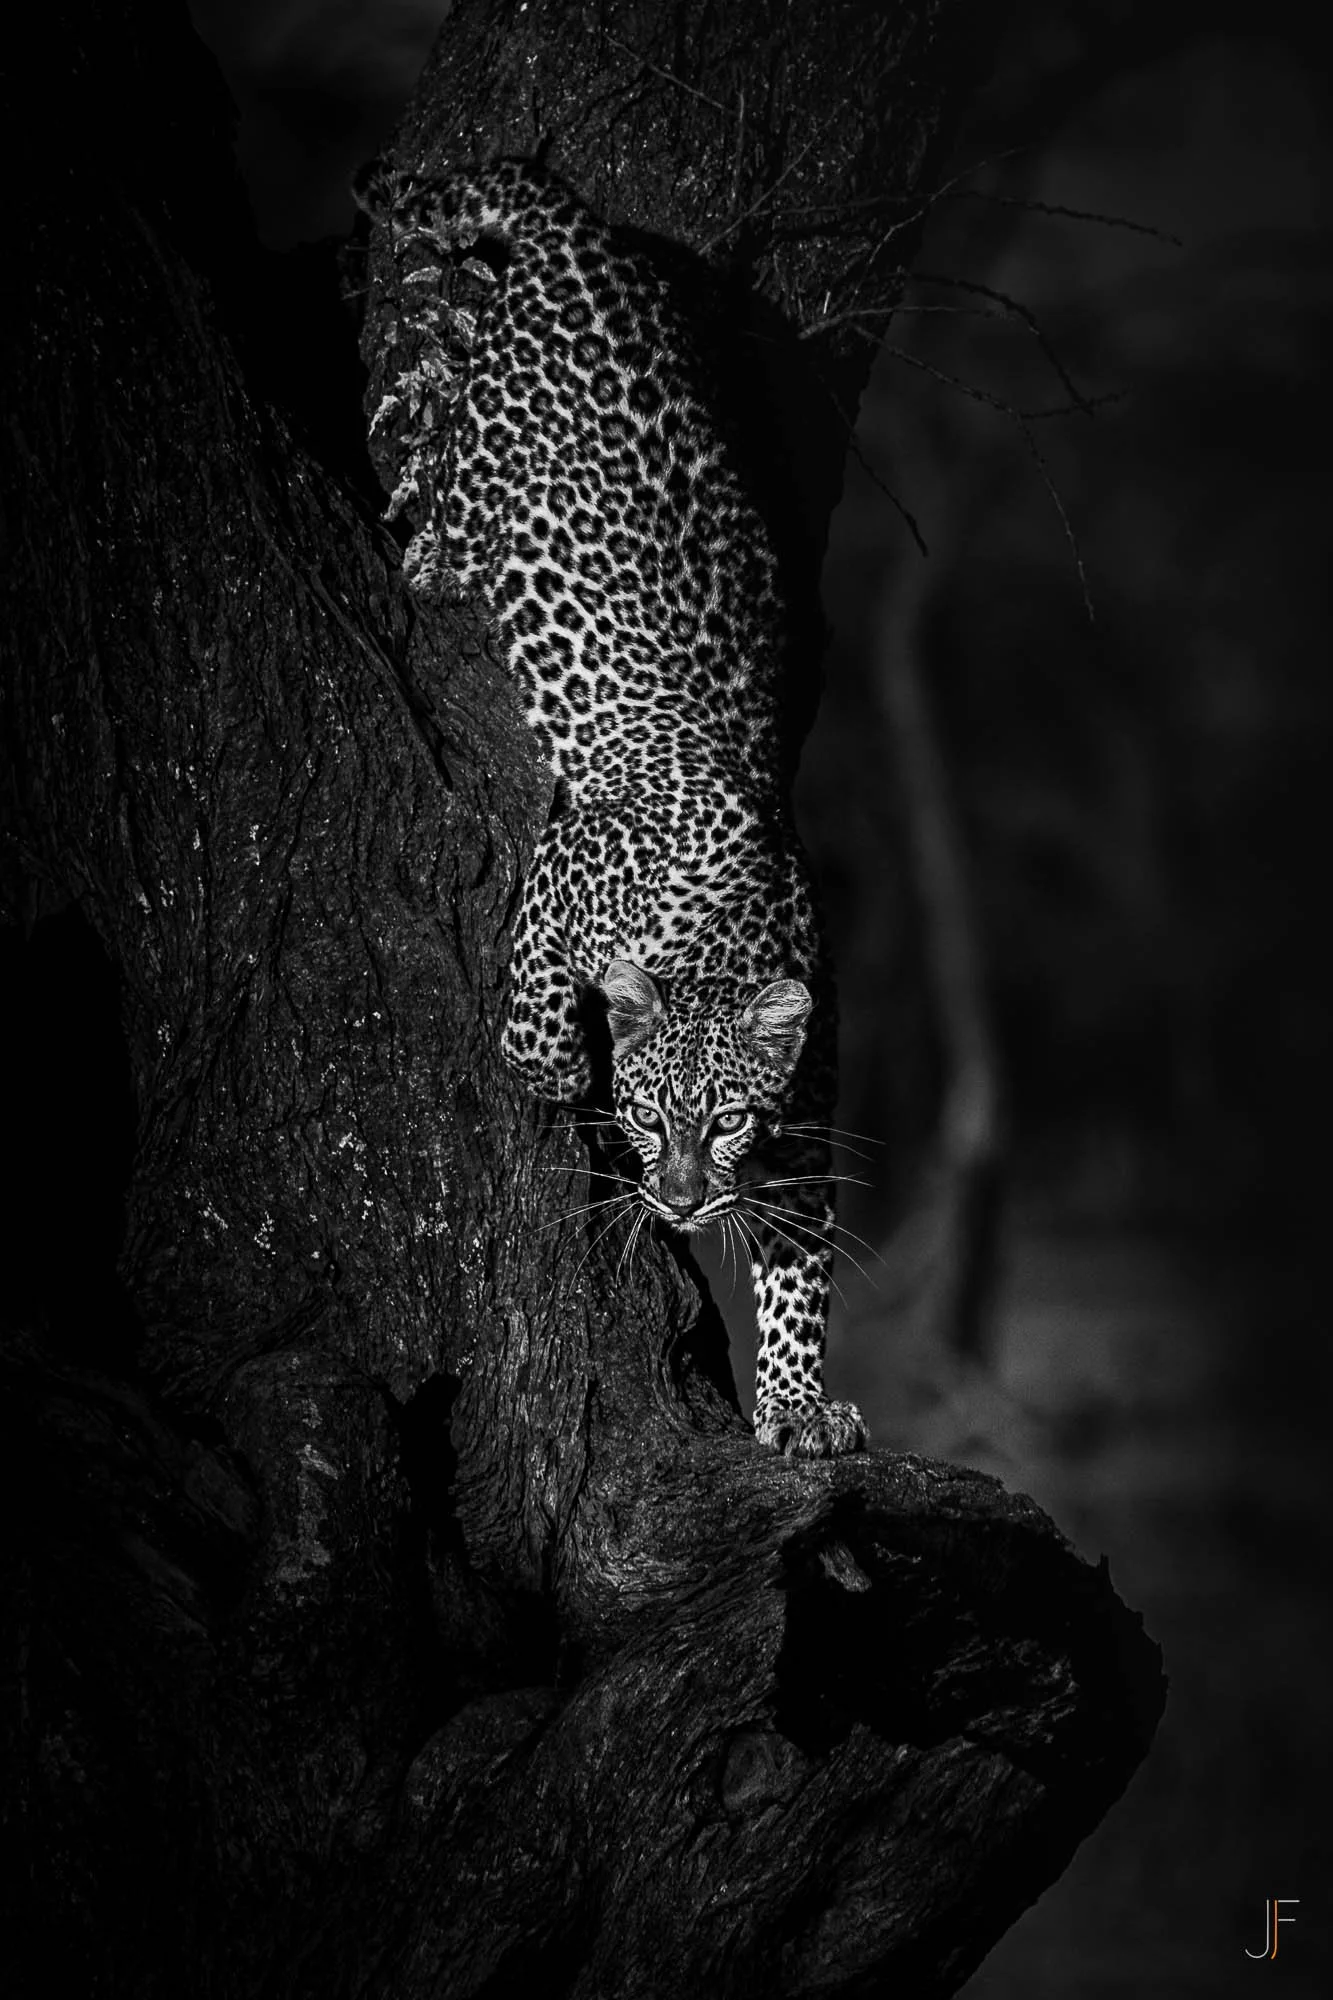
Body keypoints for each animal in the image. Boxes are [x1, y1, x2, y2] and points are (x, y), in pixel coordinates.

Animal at [359, 158, 868, 1459]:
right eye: (648, 1113)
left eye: (731, 1118)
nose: (683, 1202)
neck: (723, 934)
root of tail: (573, 229)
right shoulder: (563, 879)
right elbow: (540, 1041)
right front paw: (565, 1070)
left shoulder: (807, 1115)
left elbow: (800, 1265)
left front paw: (796, 1400)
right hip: (486, 454)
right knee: (438, 467)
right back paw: (428, 502)